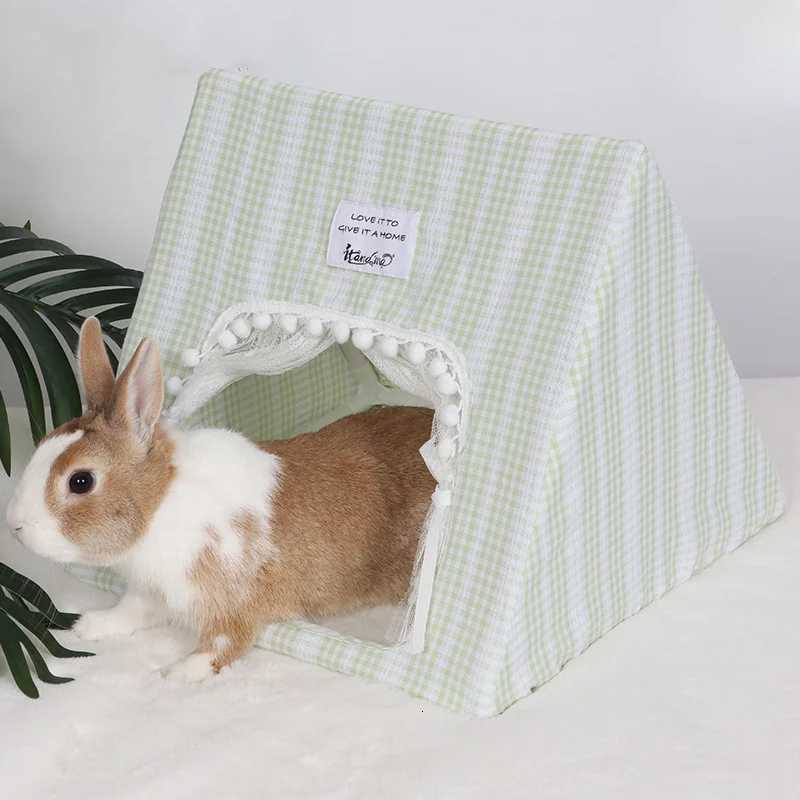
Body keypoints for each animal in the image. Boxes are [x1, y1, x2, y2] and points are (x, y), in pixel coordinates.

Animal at [5, 317, 435, 681]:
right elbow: (131, 612)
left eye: (81, 481)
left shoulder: (230, 600)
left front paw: (177, 673)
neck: (161, 503)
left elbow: (224, 644)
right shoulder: (152, 589)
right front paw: (90, 626)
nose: (15, 525)